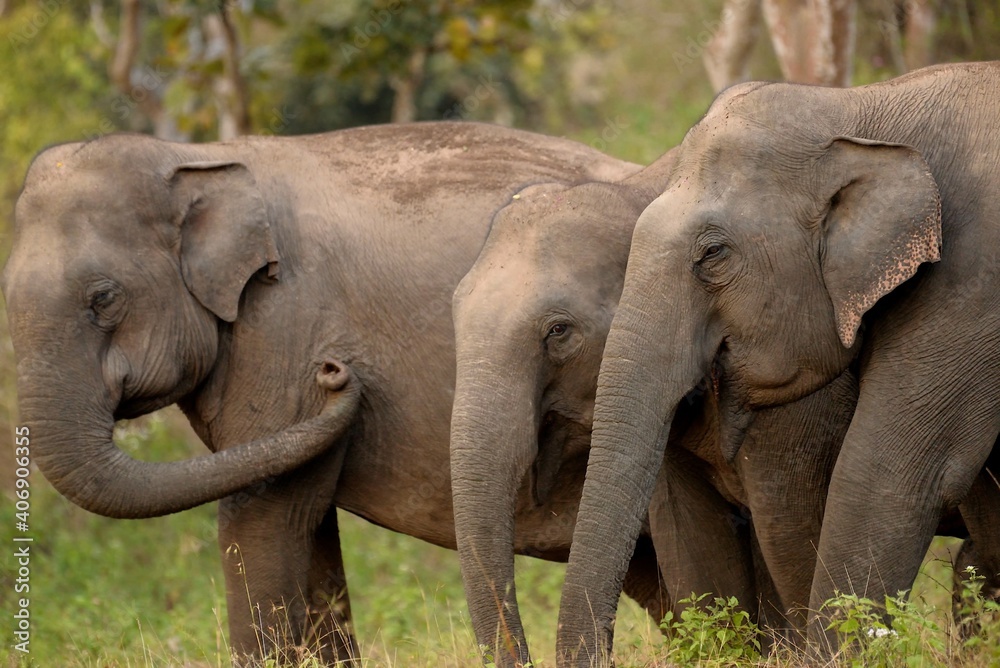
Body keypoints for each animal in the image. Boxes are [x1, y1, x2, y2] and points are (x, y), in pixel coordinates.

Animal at [0, 121, 648, 666]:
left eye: (103, 299)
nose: (336, 370)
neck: (195, 155)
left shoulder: (282, 329)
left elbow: (263, 519)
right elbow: (306, 525)